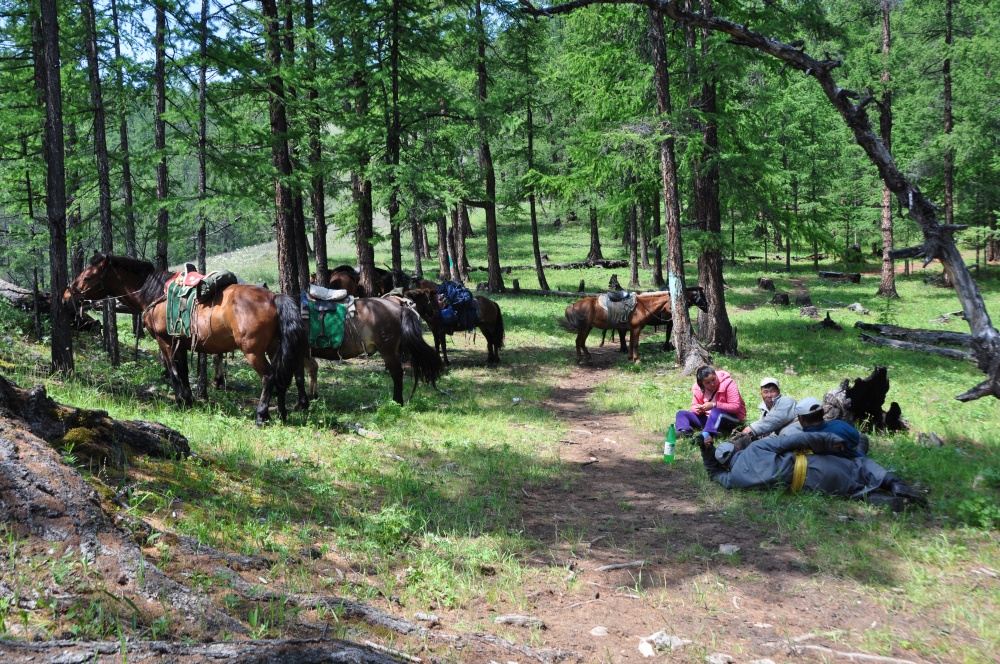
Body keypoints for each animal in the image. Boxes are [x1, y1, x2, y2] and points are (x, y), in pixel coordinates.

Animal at [64, 254, 306, 426]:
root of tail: (274, 297)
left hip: (253, 351)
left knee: (268, 377)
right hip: (275, 348)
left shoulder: (165, 341)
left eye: (88, 277)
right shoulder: (180, 342)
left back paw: (261, 415)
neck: (154, 294)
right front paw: (189, 399)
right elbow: (183, 370)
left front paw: (181, 400)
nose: (67, 295)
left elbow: (173, 371)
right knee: (282, 376)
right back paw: (281, 414)